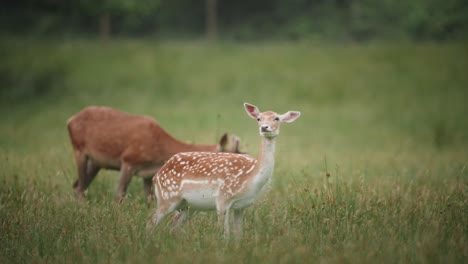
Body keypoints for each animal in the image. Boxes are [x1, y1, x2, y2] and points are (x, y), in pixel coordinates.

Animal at [67, 106, 243, 203]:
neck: (159, 150)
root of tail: (70, 120)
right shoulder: (128, 160)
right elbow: (119, 195)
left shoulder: (147, 174)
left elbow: (150, 200)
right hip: (78, 149)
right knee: (80, 187)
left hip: (96, 162)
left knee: (77, 185)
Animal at [148, 102, 302, 238]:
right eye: (259, 118)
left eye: (276, 118)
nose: (264, 127)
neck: (251, 176)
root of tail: (157, 175)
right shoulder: (222, 198)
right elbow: (224, 233)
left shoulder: (240, 206)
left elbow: (239, 234)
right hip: (167, 197)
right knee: (151, 223)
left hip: (188, 206)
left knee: (172, 225)